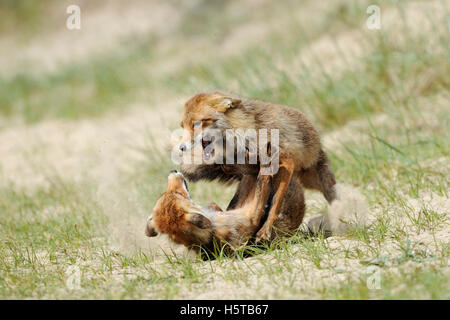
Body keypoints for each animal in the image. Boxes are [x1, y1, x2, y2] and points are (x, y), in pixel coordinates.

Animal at [179, 91, 338, 241]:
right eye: (183, 126)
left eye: (196, 124)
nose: (181, 147)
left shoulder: (286, 162)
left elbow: (275, 203)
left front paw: (265, 230)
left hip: (322, 183)